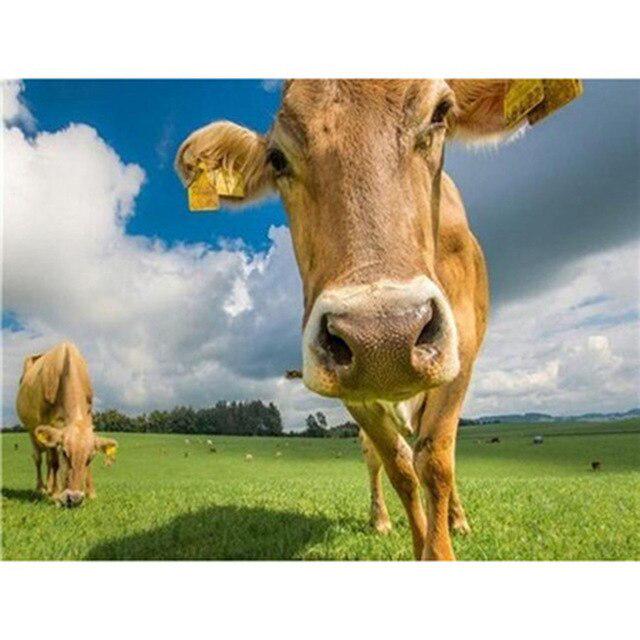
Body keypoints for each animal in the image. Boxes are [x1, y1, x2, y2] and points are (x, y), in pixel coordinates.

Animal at [16, 341, 117, 507]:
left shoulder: (88, 417)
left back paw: (49, 488)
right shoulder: (49, 424)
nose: (74, 498)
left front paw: (91, 493)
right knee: (39, 459)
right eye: (64, 452)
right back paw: (42, 488)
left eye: (90, 458)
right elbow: (55, 462)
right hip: (31, 430)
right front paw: (56, 494)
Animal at [175, 80, 541, 560]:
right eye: (277, 158)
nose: (383, 336)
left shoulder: (460, 354)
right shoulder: (353, 392)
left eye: (440, 113)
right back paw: (381, 519)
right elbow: (400, 467)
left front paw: (443, 541)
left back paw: (458, 519)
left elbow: (436, 461)